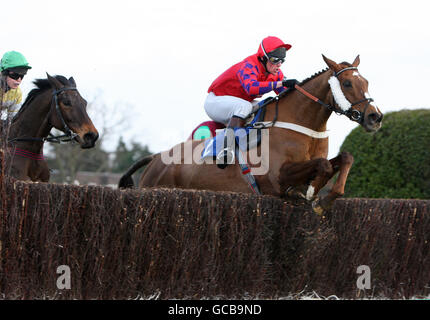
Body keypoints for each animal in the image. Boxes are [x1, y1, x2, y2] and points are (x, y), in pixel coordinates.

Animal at [118, 55, 382, 215]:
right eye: (347, 84)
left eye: (367, 81)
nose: (374, 117)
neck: (303, 125)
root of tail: (156, 158)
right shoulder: (277, 177)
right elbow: (322, 166)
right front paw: (310, 192)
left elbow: (345, 158)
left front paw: (322, 196)